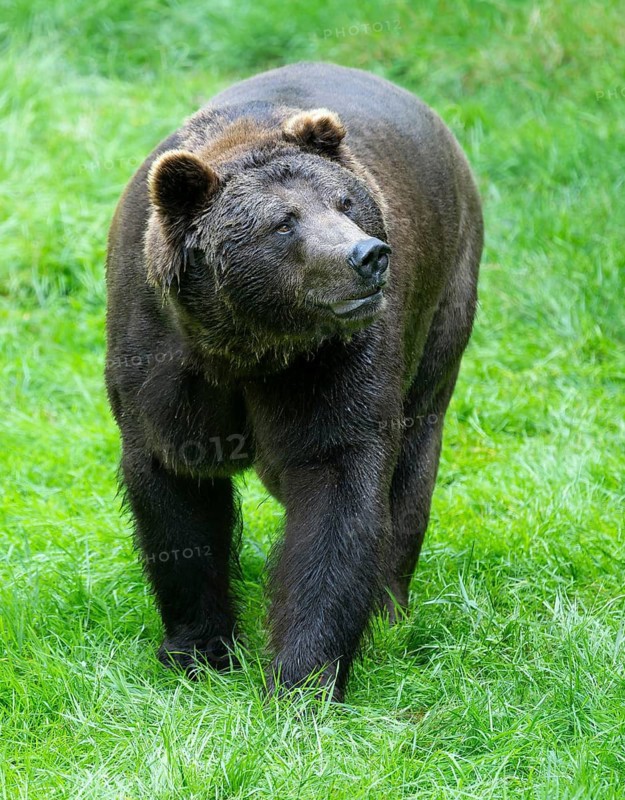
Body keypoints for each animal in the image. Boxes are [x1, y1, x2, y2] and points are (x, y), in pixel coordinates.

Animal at [105, 61, 483, 701]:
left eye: (345, 201)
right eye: (284, 222)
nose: (368, 255)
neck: (247, 345)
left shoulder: (334, 363)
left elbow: (337, 491)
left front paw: (301, 677)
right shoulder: (159, 357)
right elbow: (175, 494)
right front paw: (198, 649)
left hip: (443, 304)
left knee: (414, 456)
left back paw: (390, 607)